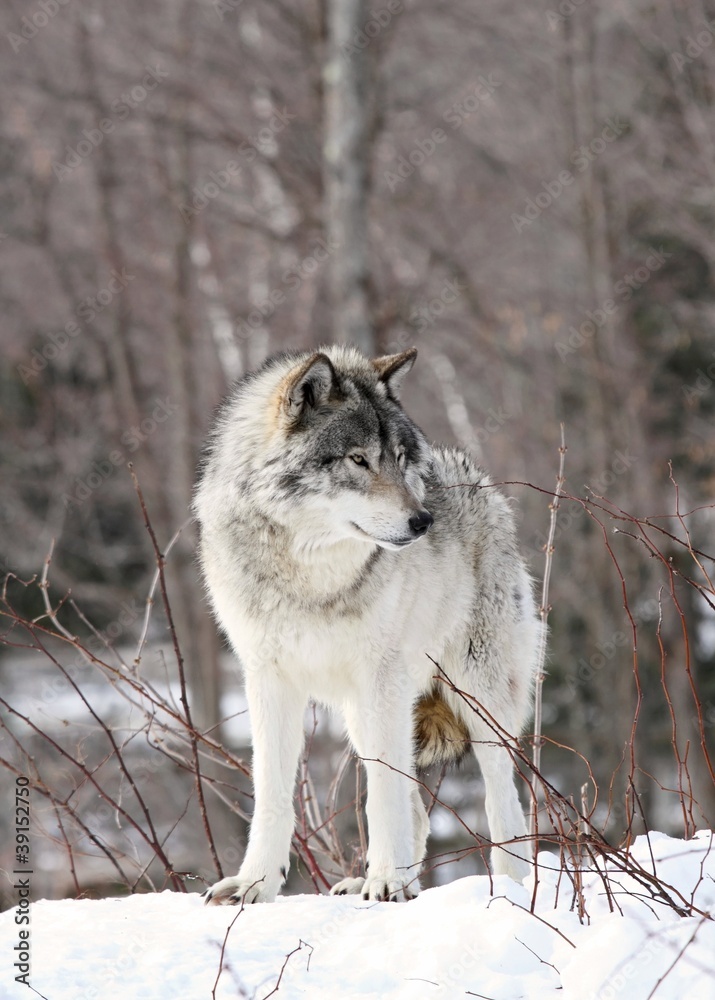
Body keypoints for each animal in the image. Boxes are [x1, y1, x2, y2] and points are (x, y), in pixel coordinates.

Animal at [194, 346, 540, 904]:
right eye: (357, 459)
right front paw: (255, 885)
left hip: (475, 697)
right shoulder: (267, 679)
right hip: (364, 714)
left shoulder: (382, 678)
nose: (423, 521)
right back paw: (380, 880)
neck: (312, 577)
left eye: (399, 458)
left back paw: (509, 891)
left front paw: (387, 882)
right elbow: (272, 794)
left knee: (502, 801)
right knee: (418, 811)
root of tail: (480, 481)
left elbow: (383, 797)